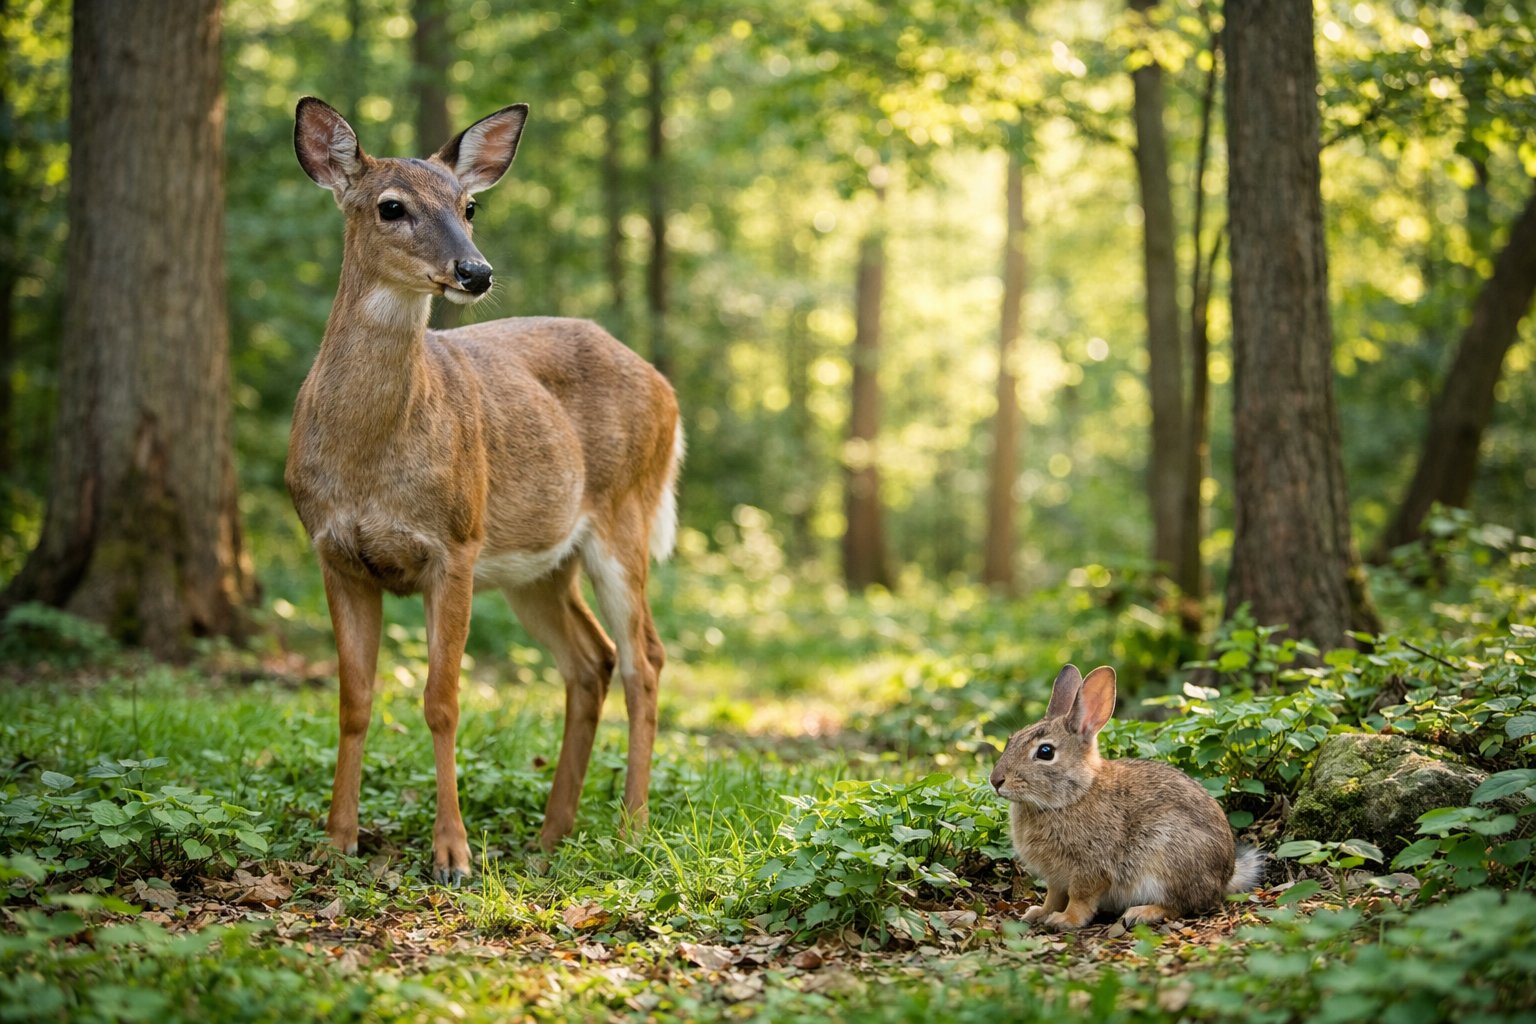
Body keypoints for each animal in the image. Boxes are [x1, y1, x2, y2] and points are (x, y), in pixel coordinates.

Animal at [288, 97, 682, 884]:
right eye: (391, 206)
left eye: (469, 206)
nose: (475, 271)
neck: (368, 459)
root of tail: (666, 388)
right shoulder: (335, 552)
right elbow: (353, 699)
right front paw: (336, 841)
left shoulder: (456, 545)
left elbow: (442, 700)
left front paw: (453, 855)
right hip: (538, 567)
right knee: (591, 660)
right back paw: (552, 835)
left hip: (624, 516)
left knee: (644, 658)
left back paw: (630, 828)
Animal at [989, 664, 1266, 931]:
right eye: (1011, 740)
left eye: (1046, 752)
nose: (995, 780)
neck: (1074, 794)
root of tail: (1226, 876)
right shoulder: (1056, 878)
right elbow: (1053, 896)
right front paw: (1038, 913)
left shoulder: (1090, 868)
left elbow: (1080, 898)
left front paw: (1065, 920)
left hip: (1168, 859)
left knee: (1184, 904)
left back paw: (1141, 913)